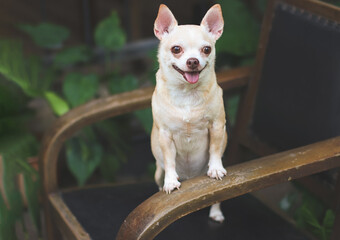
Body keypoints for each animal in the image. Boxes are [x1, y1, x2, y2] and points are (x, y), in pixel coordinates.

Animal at [152, 3, 227, 222]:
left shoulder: (217, 126)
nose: (193, 61)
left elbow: (215, 149)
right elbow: (169, 160)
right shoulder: (165, 135)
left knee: (216, 199)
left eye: (206, 49)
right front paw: (170, 181)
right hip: (157, 172)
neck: (187, 94)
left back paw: (216, 212)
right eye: (176, 49)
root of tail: (190, 177)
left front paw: (215, 168)